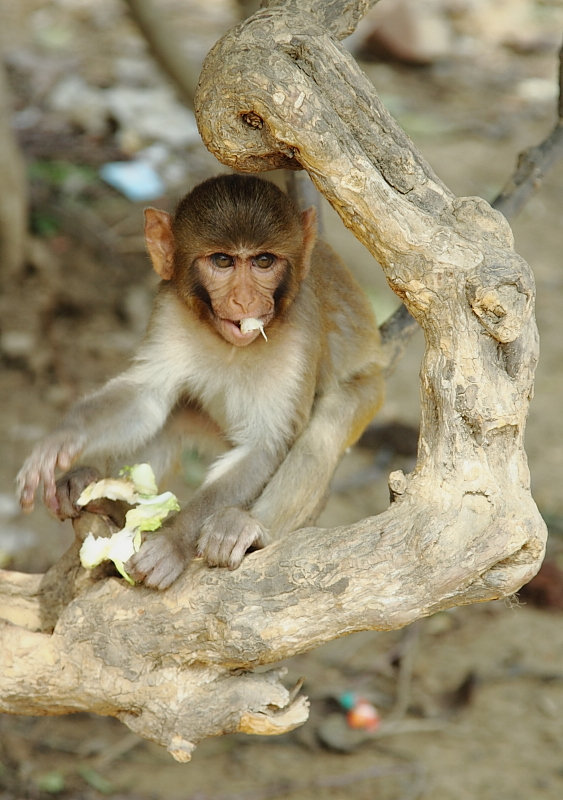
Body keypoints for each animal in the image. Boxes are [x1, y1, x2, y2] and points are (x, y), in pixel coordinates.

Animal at [18, 173, 388, 588]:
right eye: (222, 261)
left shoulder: (301, 326)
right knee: (170, 416)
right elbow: (146, 396)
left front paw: (173, 541)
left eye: (263, 261)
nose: (245, 301)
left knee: (329, 424)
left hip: (371, 389)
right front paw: (62, 441)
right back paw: (102, 498)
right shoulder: (169, 307)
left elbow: (266, 445)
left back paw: (249, 527)